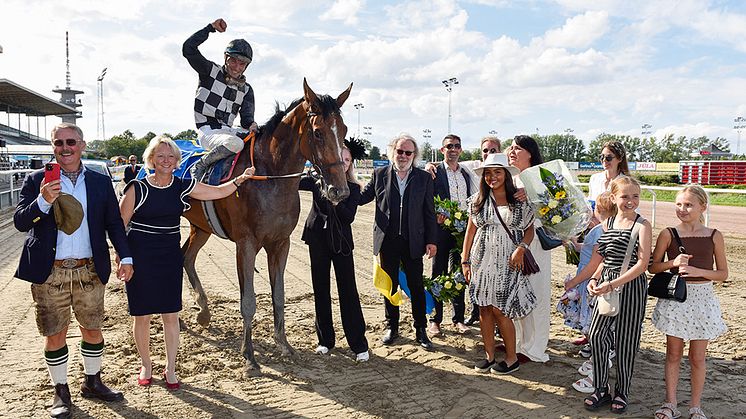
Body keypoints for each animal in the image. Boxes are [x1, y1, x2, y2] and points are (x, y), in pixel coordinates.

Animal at [182, 80, 352, 376]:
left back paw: (203, 311)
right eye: (318, 133)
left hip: (199, 227)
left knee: (187, 258)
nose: (339, 191)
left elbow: (279, 295)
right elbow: (248, 301)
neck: (270, 176)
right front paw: (249, 356)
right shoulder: (246, 244)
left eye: (343, 130)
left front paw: (284, 345)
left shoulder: (280, 243)